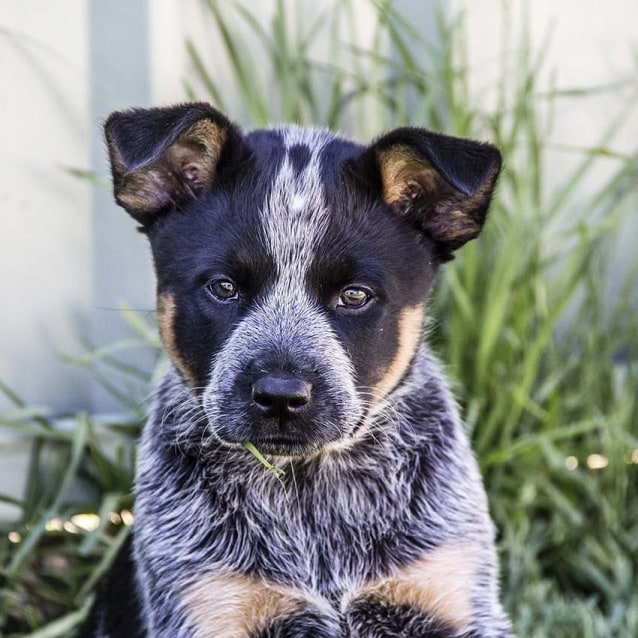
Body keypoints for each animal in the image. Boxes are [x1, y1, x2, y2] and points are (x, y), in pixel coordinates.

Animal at [82, 102, 516, 636]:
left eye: (355, 295)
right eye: (223, 287)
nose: (281, 395)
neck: (311, 494)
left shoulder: (450, 594)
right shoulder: (209, 605)